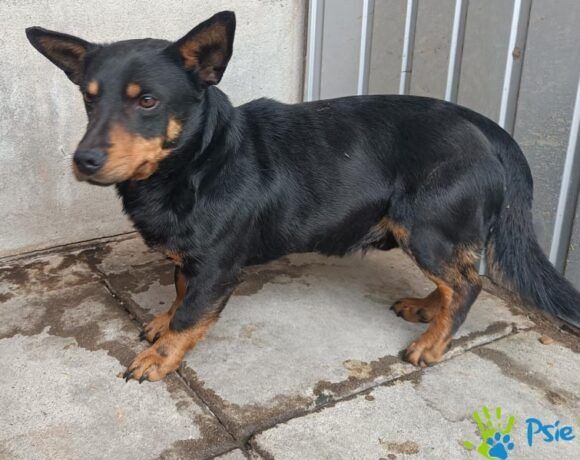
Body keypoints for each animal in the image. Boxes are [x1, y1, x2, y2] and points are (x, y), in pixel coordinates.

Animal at [26, 11, 580, 382]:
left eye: (147, 101)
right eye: (89, 99)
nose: (83, 160)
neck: (199, 161)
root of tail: (485, 126)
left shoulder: (217, 267)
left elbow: (190, 313)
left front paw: (160, 356)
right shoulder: (191, 259)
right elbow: (180, 291)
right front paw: (160, 323)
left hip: (427, 229)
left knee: (467, 285)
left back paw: (431, 344)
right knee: (453, 284)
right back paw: (426, 308)